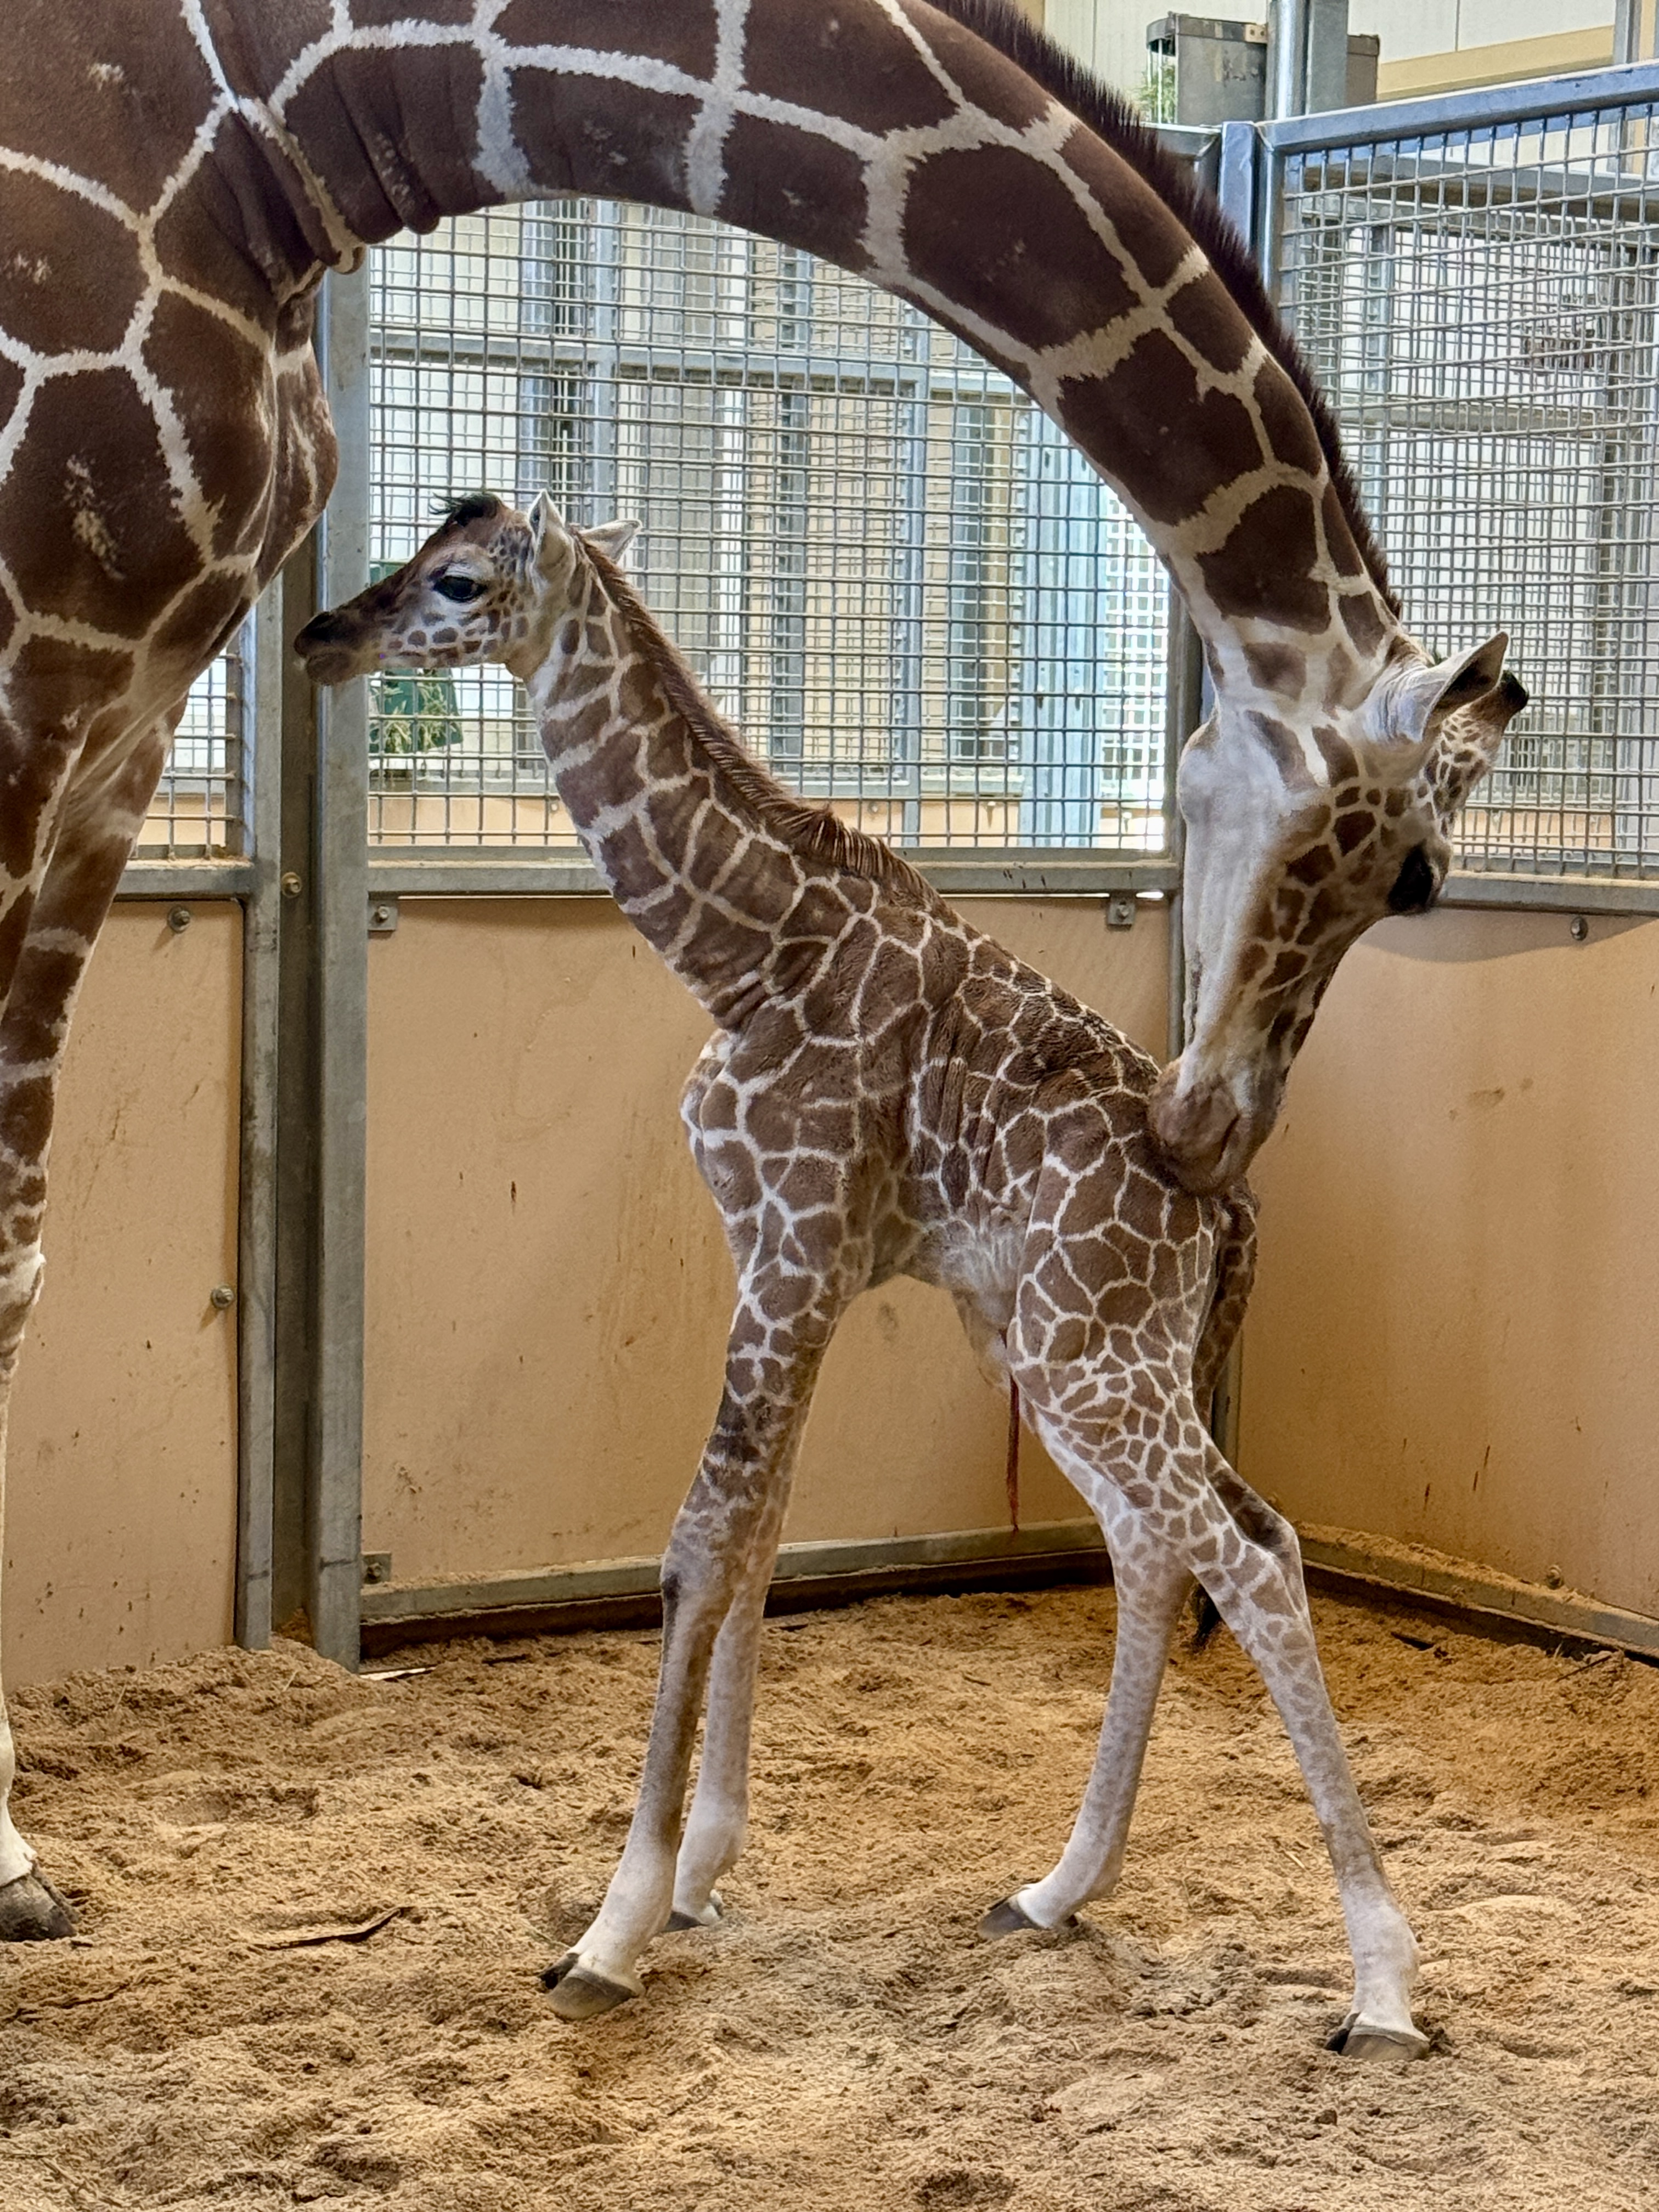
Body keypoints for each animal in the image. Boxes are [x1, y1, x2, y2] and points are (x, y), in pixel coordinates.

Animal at [299, 490, 1521, 2053]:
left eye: (454, 579)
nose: (325, 635)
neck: (744, 952)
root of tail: (1229, 1203)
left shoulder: (791, 1247)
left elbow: (699, 1542)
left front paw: (615, 1927)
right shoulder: (797, 1264)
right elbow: (759, 1535)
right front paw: (698, 1872)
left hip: (1090, 1354)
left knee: (1249, 1555)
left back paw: (1380, 1981)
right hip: (1064, 1352)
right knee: (1165, 1546)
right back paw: (1055, 1890)